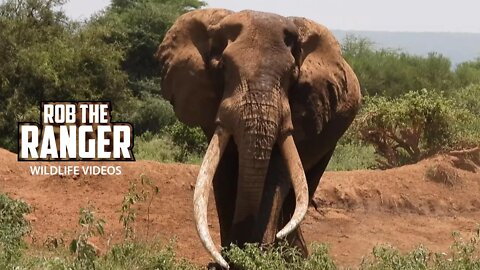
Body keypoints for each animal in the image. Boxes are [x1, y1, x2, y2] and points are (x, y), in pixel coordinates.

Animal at [156, 8, 362, 268]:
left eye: (293, 74)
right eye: (222, 67)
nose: (237, 252)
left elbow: (275, 177)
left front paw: (256, 258)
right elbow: (223, 174)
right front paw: (229, 260)